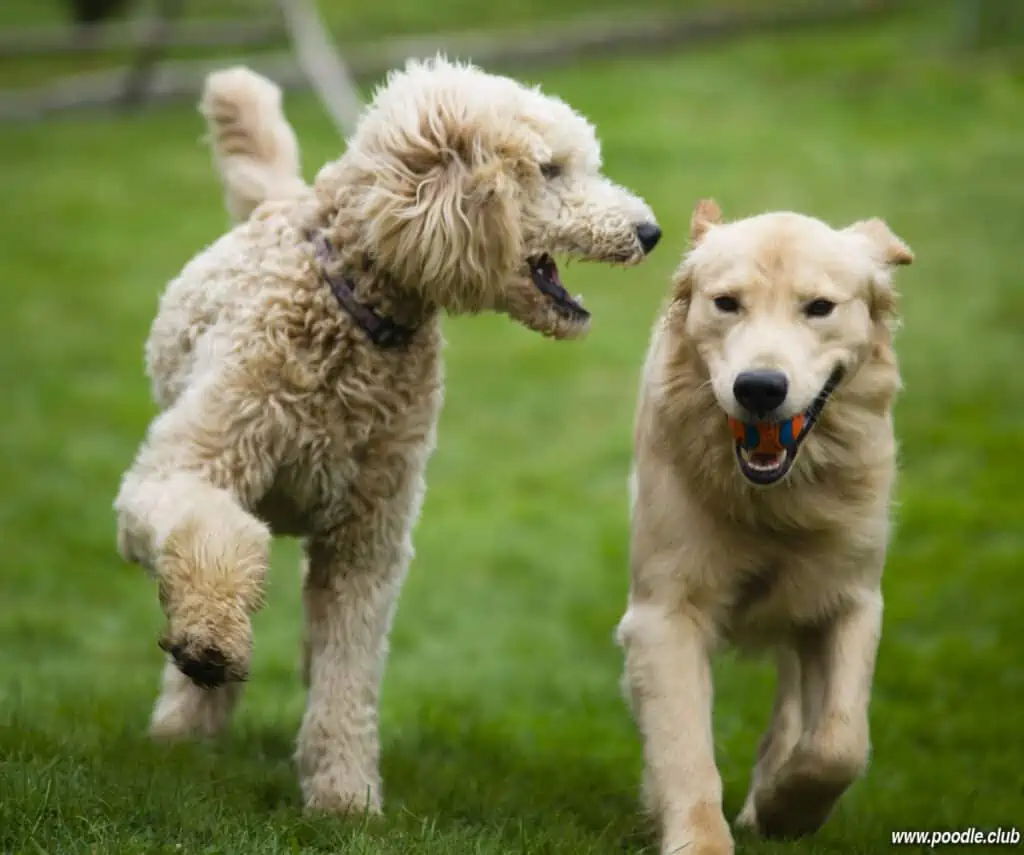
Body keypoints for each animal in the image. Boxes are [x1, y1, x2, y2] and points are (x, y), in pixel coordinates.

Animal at [114, 61, 655, 815]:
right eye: (550, 169)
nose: (650, 230)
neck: (354, 317)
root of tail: (277, 198)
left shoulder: (365, 539)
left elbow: (350, 668)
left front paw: (345, 798)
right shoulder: (182, 468)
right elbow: (214, 533)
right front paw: (212, 639)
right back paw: (185, 725)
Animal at [614, 197, 913, 851]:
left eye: (819, 307)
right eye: (727, 303)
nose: (758, 388)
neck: (773, 501)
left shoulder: (851, 598)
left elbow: (839, 744)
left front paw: (784, 806)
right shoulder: (665, 613)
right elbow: (686, 752)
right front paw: (702, 836)